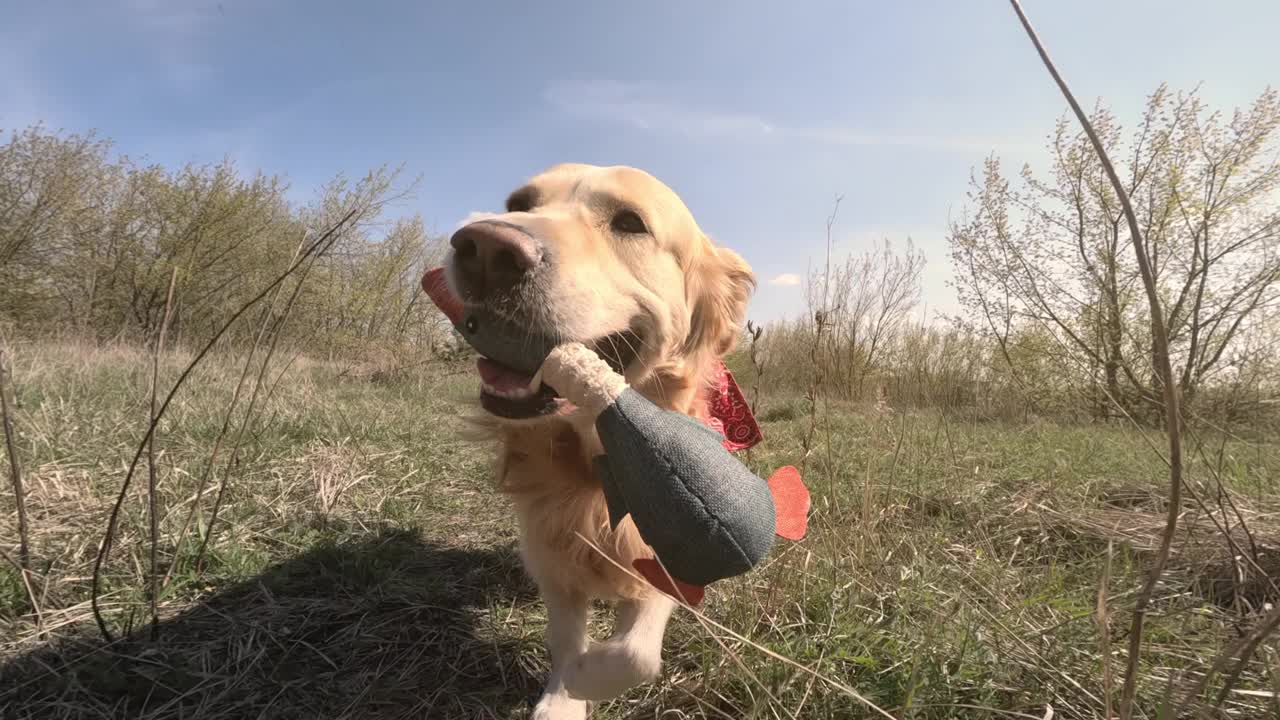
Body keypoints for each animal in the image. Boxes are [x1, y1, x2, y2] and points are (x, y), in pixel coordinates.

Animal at [445, 162, 752, 717]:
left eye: (630, 222)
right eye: (518, 204)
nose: (485, 246)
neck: (600, 449)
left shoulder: (665, 551)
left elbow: (636, 655)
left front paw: (587, 676)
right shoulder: (553, 549)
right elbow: (567, 636)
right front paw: (566, 693)